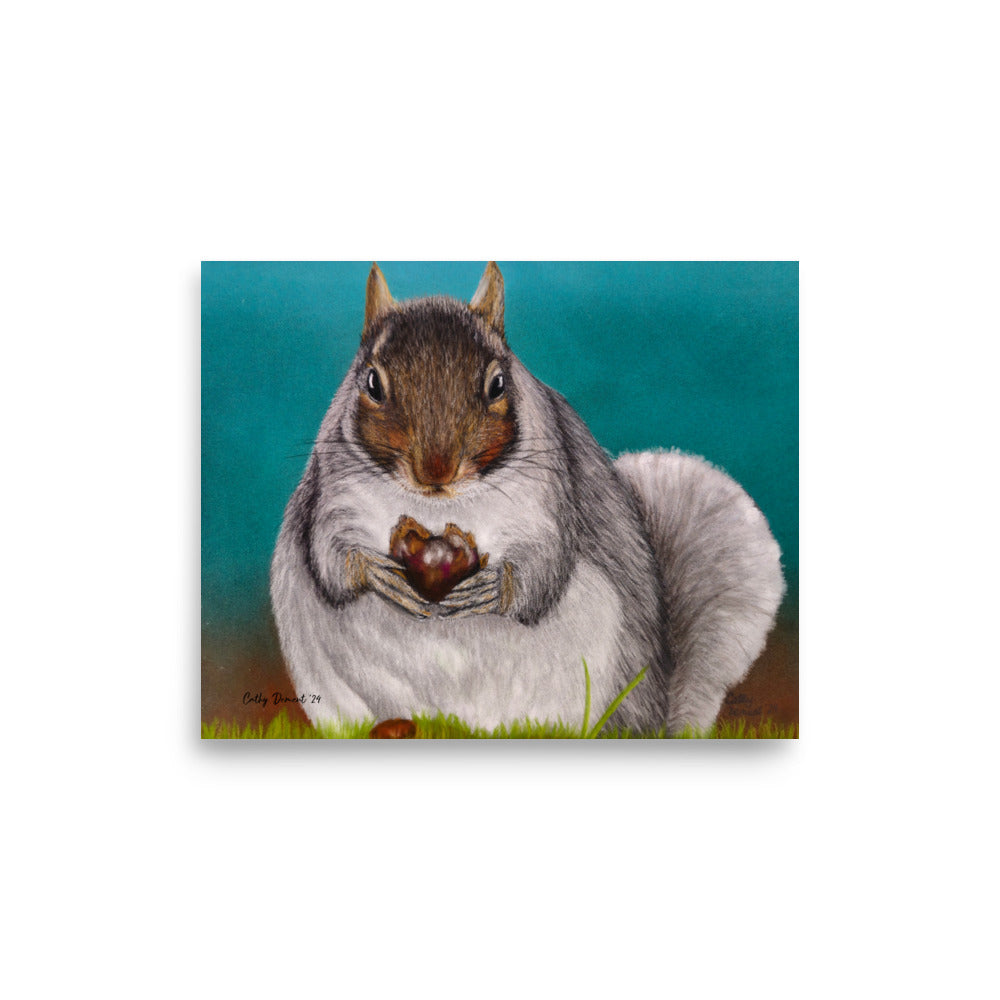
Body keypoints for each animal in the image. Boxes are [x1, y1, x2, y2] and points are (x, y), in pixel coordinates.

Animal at [270, 262, 785, 735]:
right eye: (372, 383)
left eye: (498, 383)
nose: (436, 471)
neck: (439, 506)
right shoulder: (334, 494)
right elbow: (330, 557)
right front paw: (377, 572)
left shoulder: (550, 499)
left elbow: (546, 566)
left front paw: (494, 587)